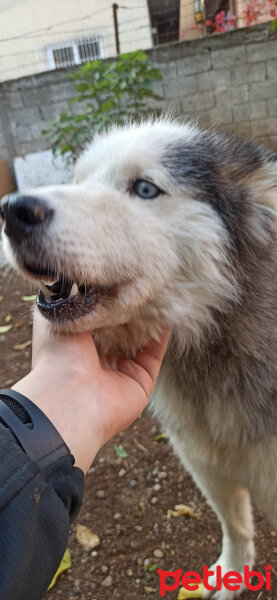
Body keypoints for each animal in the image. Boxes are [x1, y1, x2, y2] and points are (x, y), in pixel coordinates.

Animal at [1, 119, 276, 596]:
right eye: (78, 180)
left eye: (145, 188)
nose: (12, 210)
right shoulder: (206, 465)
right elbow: (236, 528)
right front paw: (232, 576)